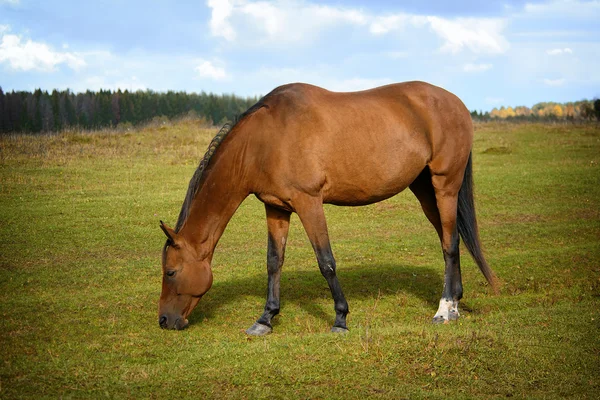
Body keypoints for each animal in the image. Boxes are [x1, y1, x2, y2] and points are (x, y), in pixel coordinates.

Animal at [158, 80, 496, 334]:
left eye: (171, 271)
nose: (164, 321)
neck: (264, 140)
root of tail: (456, 103)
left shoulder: (309, 202)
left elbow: (326, 262)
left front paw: (340, 318)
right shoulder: (276, 208)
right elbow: (274, 261)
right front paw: (265, 318)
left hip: (445, 185)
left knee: (450, 243)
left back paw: (445, 310)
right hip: (424, 189)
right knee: (450, 238)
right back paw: (456, 301)